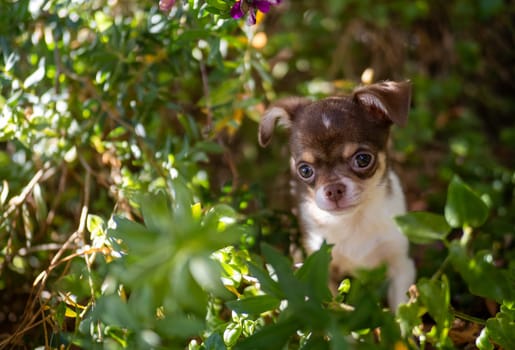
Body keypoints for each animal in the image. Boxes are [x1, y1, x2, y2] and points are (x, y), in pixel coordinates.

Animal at [260, 80, 418, 308]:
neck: (353, 221)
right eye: (305, 170)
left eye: (363, 159)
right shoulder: (321, 270)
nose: (334, 189)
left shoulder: (401, 265)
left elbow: (401, 309)